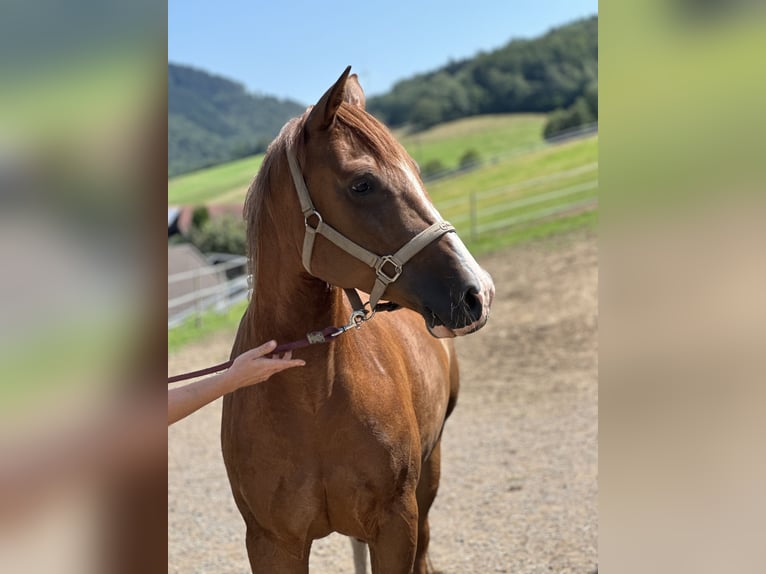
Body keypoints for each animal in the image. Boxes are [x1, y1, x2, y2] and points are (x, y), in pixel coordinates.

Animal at [221, 66, 494, 574]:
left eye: (417, 172)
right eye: (362, 184)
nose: (477, 291)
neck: (311, 397)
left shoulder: (397, 524)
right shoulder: (272, 543)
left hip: (430, 472)